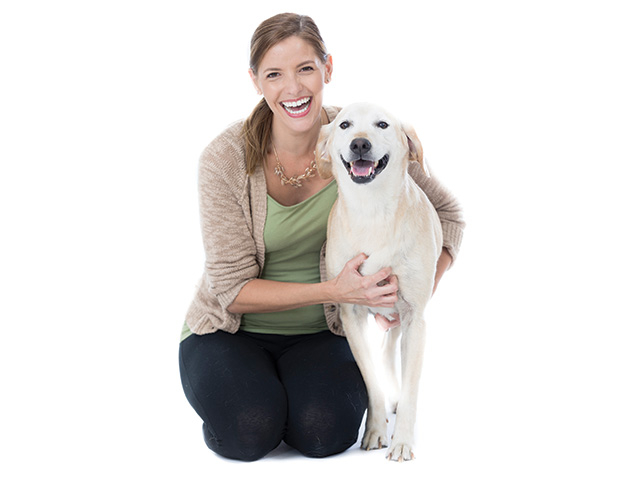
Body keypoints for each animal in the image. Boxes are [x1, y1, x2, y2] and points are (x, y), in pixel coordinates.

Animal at [314, 101, 442, 460]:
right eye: (344, 125)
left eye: (382, 124)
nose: (360, 143)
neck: (372, 212)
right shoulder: (351, 314)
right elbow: (370, 380)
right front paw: (375, 430)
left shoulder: (415, 316)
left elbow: (411, 388)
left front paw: (402, 441)